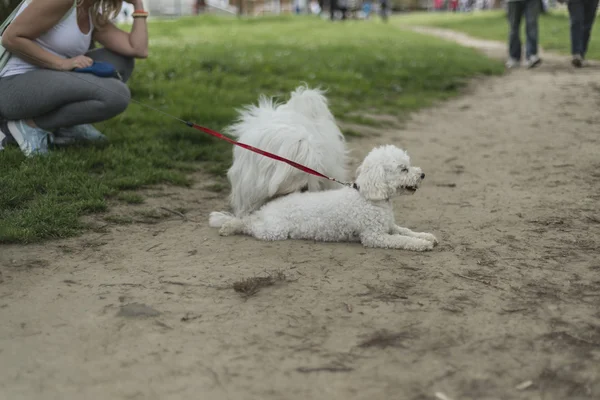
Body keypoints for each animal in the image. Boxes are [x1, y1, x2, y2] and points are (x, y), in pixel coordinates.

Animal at [209, 145, 438, 250]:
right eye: (403, 169)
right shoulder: (374, 236)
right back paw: (230, 226)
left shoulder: (388, 227)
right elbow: (401, 239)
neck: (369, 197)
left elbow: (405, 231)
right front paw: (421, 244)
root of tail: (267, 209)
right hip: (274, 231)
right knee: (248, 224)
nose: (423, 174)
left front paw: (426, 236)